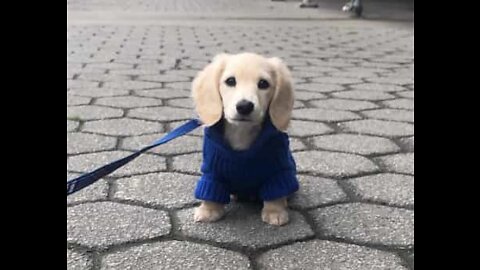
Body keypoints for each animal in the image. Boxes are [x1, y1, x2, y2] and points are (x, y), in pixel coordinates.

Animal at [190, 52, 292, 226]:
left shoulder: (277, 171)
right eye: (230, 81)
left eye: (263, 84)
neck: (241, 132)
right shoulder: (212, 170)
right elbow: (210, 190)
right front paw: (208, 210)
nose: (244, 106)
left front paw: (275, 212)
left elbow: (276, 192)